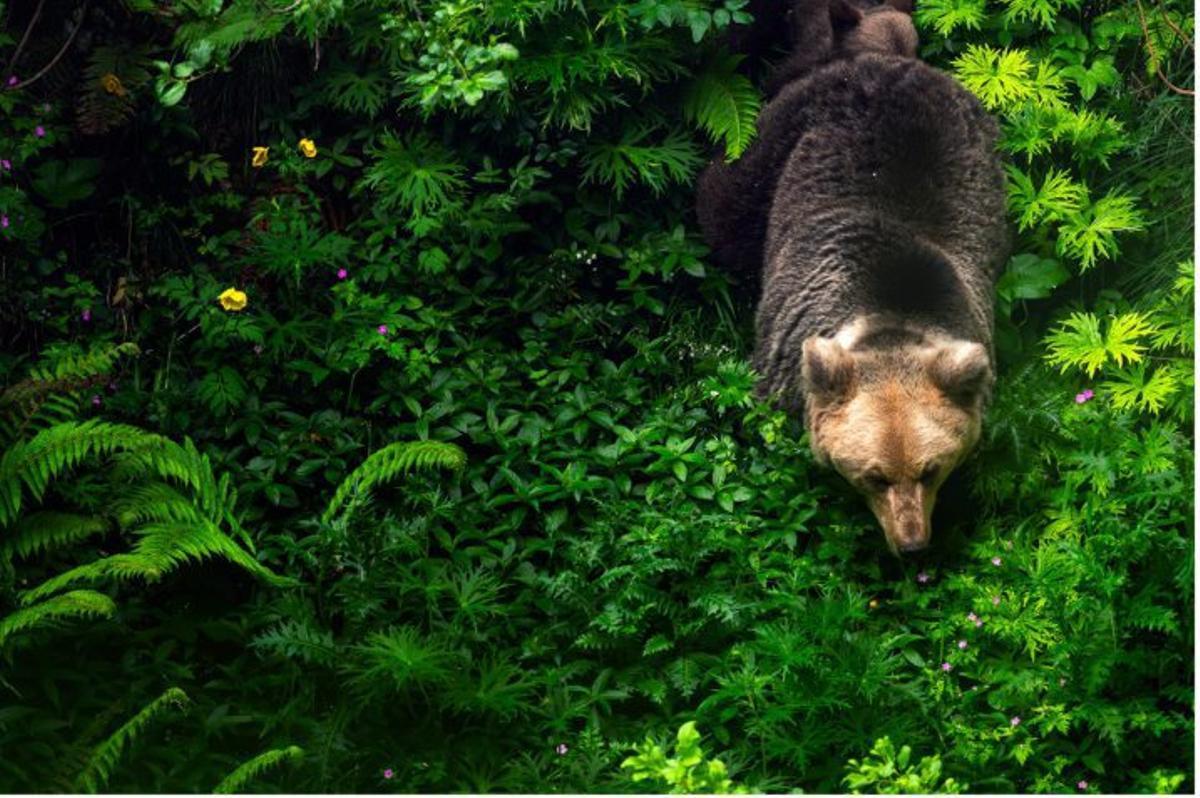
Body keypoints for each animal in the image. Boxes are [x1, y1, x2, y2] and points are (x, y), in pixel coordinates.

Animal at [695, 0, 1009, 554]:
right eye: (874, 476)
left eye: (932, 468)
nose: (912, 544)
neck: (890, 318)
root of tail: (883, 56)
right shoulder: (784, 362)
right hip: (784, 131)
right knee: (723, 204)